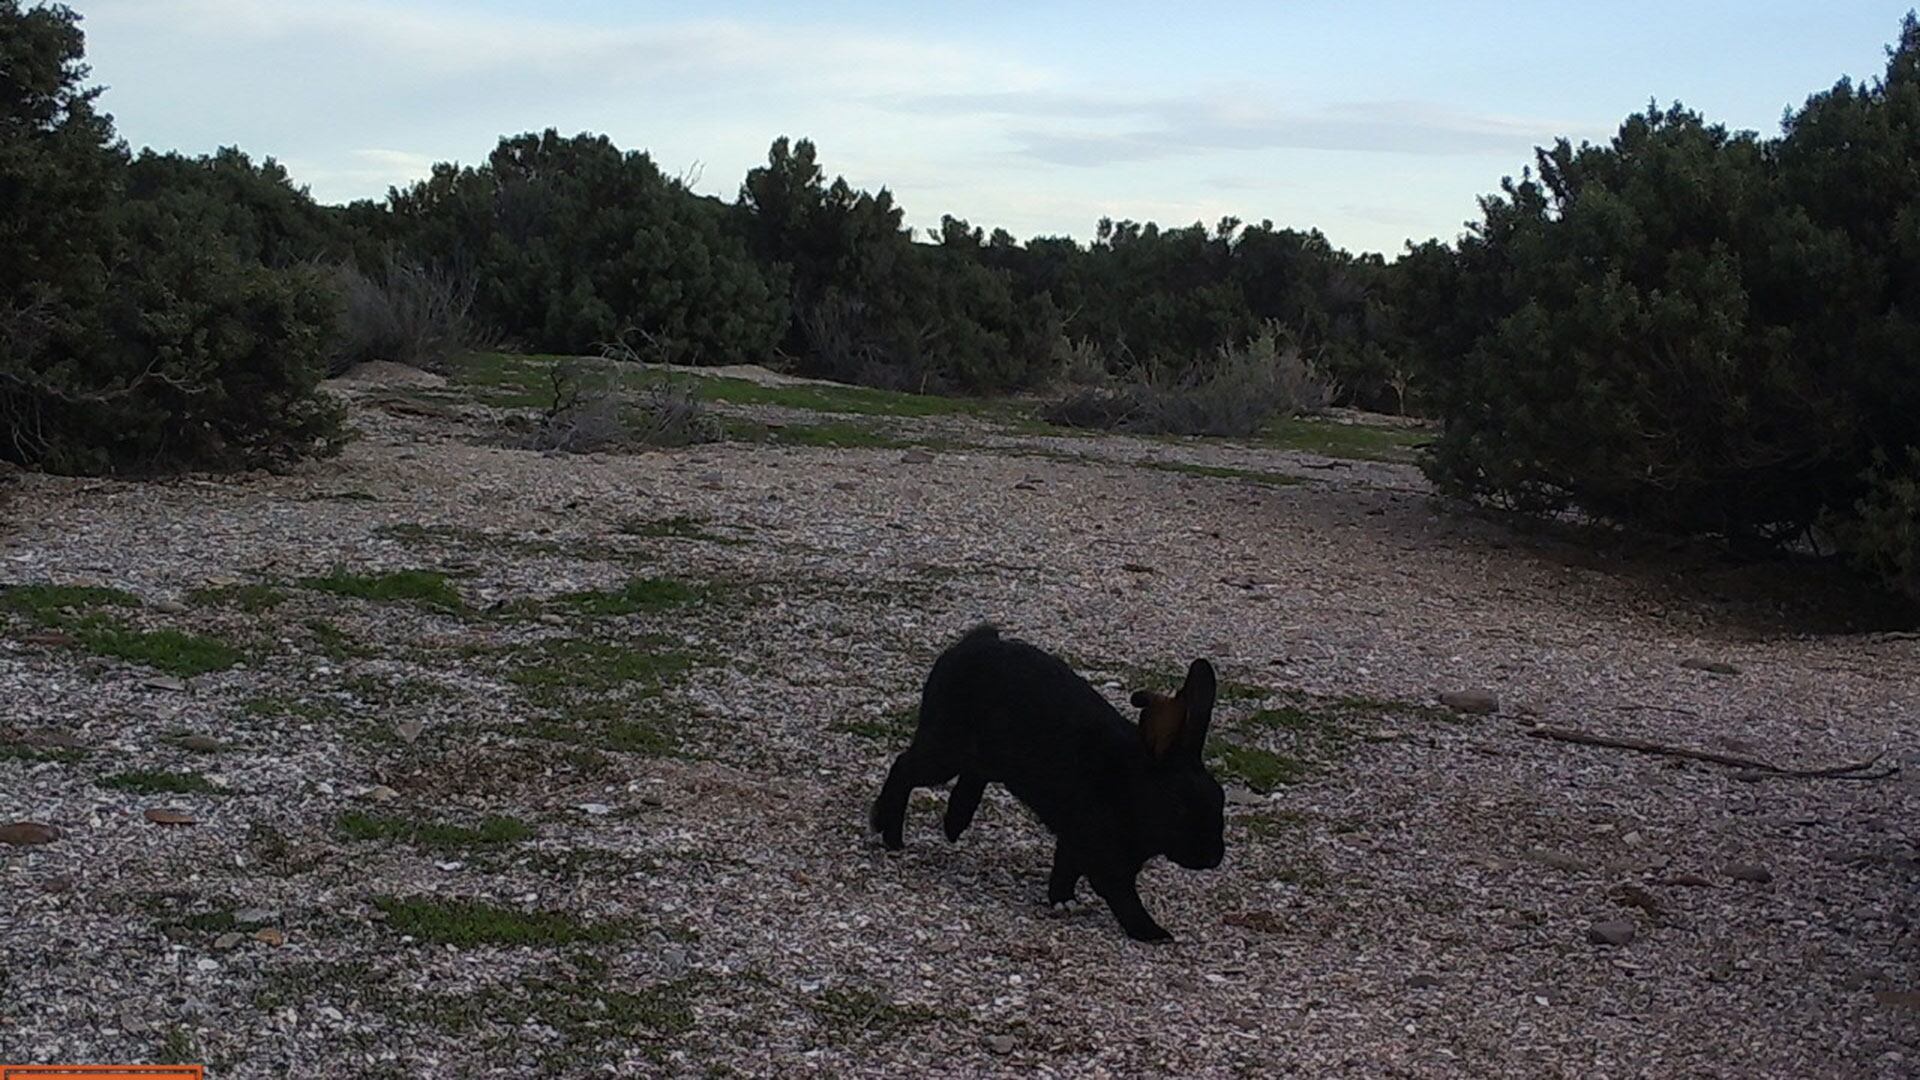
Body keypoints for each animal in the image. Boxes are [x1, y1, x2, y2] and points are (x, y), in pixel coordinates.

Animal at [867, 622, 1213, 933]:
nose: (1213, 857)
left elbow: (1066, 869)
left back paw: (953, 823)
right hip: (946, 749)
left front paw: (1063, 901)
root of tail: (973, 644)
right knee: (904, 769)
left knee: (968, 776)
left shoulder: (1075, 839)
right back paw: (891, 834)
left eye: (1218, 801)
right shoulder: (1101, 849)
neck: (1129, 787)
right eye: (1179, 807)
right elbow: (1120, 892)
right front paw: (1155, 933)